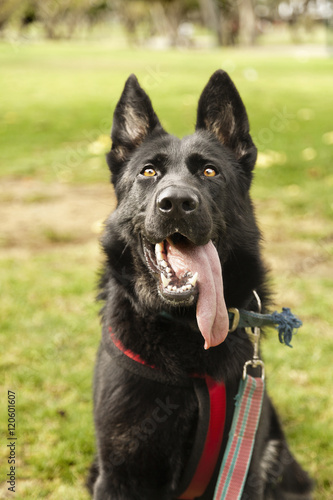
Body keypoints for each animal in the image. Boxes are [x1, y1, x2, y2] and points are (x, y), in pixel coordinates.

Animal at [87, 71, 312, 500]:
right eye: (148, 172)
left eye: (209, 172)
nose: (176, 202)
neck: (186, 328)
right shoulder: (119, 474)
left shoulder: (241, 465)